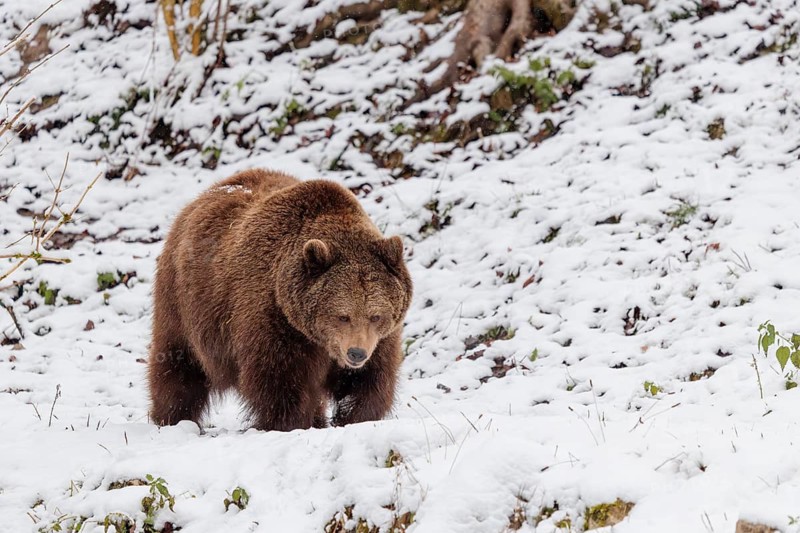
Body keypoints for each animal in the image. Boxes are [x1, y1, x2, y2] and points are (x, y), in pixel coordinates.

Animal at [147, 169, 413, 431]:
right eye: (342, 316)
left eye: (375, 316)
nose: (356, 353)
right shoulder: (274, 320)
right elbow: (280, 383)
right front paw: (288, 423)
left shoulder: (379, 340)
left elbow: (368, 382)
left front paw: (352, 417)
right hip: (185, 302)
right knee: (178, 365)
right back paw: (172, 418)